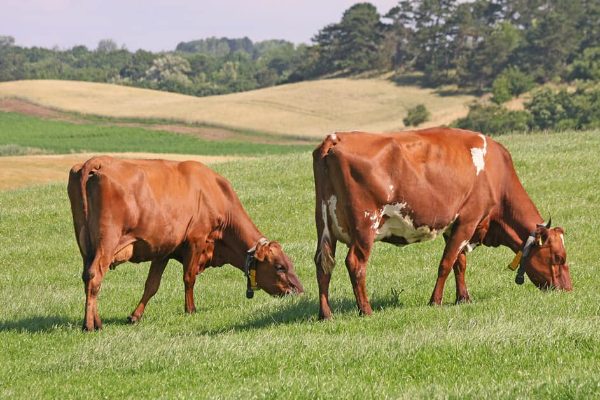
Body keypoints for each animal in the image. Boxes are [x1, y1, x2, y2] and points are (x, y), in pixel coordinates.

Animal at [69, 156, 304, 332]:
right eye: (280, 267)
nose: (300, 291)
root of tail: (97, 161)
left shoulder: (164, 250)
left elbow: (151, 285)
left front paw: (135, 316)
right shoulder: (196, 239)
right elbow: (189, 278)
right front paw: (190, 309)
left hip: (85, 244)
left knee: (87, 276)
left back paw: (95, 321)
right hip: (106, 242)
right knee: (95, 276)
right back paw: (90, 325)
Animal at [314, 128, 572, 318]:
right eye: (558, 258)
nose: (568, 290)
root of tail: (336, 138)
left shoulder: (455, 225)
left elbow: (460, 263)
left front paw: (463, 298)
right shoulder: (469, 219)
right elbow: (446, 263)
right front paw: (435, 301)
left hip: (324, 226)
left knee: (323, 264)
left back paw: (326, 314)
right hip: (366, 225)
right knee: (355, 263)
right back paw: (366, 310)